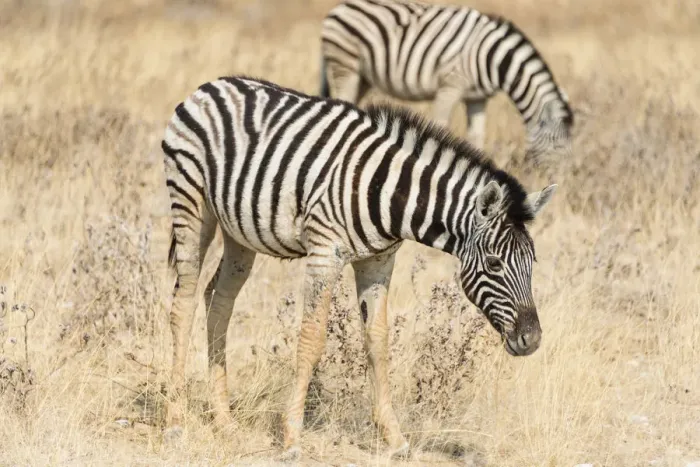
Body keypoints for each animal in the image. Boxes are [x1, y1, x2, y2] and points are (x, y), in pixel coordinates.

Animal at [162, 75, 557, 459]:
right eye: (493, 263)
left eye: (532, 263)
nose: (533, 340)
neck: (388, 192)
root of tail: (212, 85)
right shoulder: (325, 253)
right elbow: (311, 339)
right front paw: (291, 439)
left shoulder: (378, 260)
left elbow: (378, 342)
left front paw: (394, 438)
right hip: (191, 203)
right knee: (183, 303)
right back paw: (176, 422)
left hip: (239, 233)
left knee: (218, 303)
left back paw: (224, 422)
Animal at [321, 0, 573, 162]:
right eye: (557, 146)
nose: (562, 180)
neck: (493, 58)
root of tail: (339, 8)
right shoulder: (450, 86)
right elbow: (440, 125)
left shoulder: (478, 98)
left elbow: (477, 136)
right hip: (345, 65)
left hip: (363, 76)